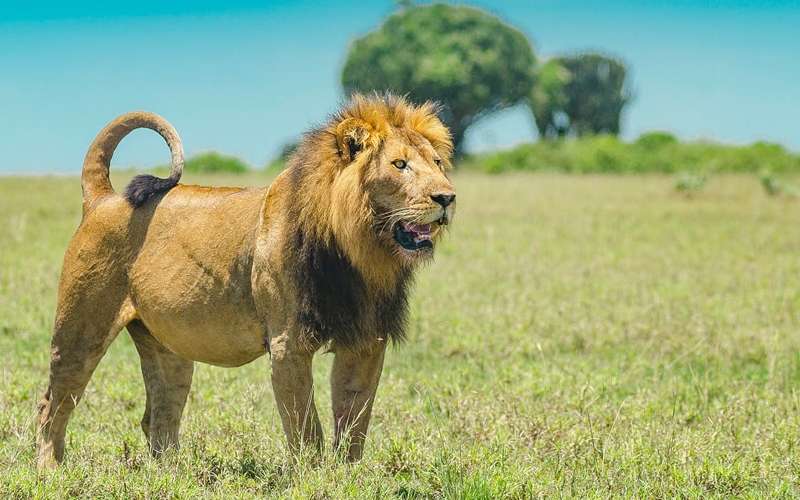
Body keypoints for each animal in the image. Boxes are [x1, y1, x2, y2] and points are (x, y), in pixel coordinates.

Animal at [36, 94, 456, 468]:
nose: (447, 197)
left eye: (437, 163)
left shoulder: (366, 341)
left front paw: (347, 477)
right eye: (399, 164)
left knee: (158, 417)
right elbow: (306, 428)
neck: (358, 251)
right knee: (51, 405)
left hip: (167, 347)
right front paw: (313, 477)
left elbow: (354, 421)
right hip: (81, 329)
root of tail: (104, 198)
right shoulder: (288, 344)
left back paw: (175, 474)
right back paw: (50, 469)